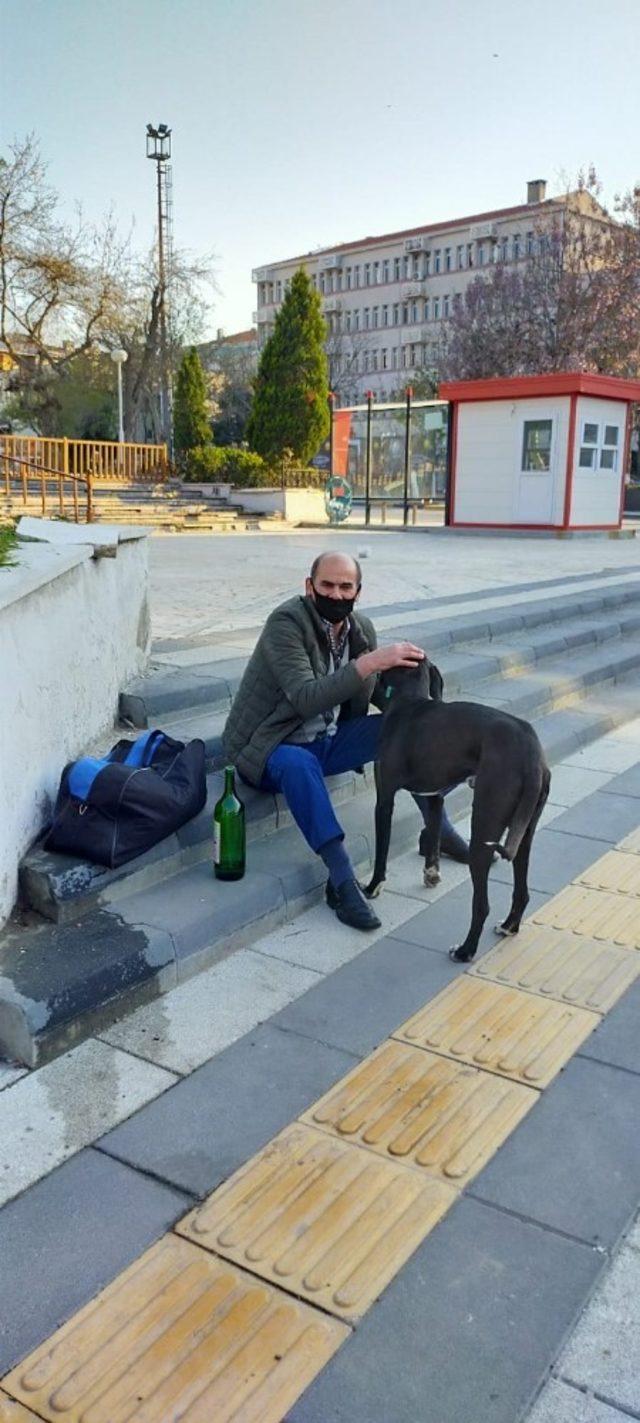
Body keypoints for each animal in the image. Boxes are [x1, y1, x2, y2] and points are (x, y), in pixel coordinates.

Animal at [364, 660, 548, 961]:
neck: (409, 701)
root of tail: (531, 755)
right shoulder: (434, 797)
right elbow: (434, 835)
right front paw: (431, 874)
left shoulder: (385, 800)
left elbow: (381, 852)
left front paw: (372, 887)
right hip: (525, 831)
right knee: (522, 892)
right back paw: (509, 926)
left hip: (484, 828)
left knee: (482, 905)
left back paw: (465, 950)